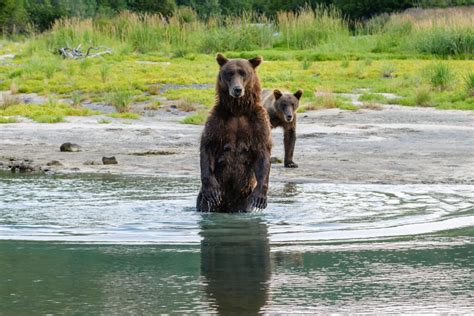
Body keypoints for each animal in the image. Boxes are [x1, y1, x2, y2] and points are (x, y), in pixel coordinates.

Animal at [195, 53, 270, 212]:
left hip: (244, 200)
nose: (237, 89)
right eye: (229, 73)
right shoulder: (217, 120)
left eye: (243, 73)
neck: (237, 110)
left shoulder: (258, 123)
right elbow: (208, 147)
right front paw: (212, 191)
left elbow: (262, 153)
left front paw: (260, 198)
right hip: (206, 198)